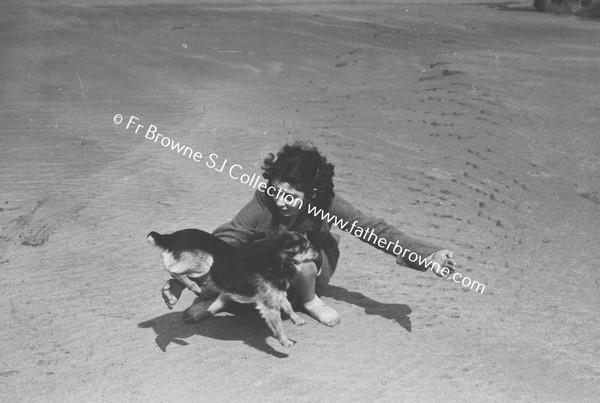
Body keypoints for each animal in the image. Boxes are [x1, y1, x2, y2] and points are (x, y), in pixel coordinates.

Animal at [146, 230, 318, 348]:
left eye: (309, 243)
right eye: (306, 247)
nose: (317, 252)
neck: (277, 257)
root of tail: (172, 236)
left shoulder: (276, 292)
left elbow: (288, 306)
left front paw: (296, 318)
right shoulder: (268, 304)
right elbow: (278, 325)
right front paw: (284, 341)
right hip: (205, 262)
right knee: (172, 270)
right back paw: (193, 286)